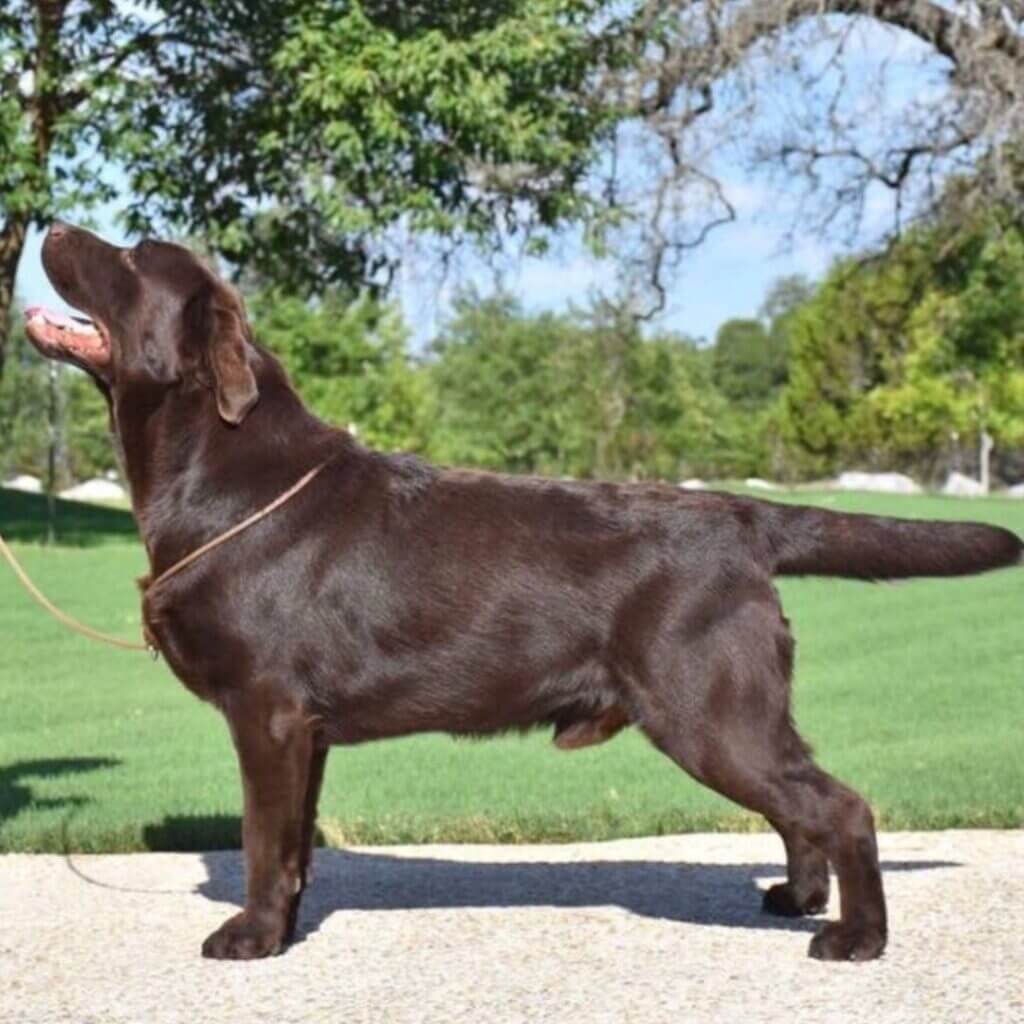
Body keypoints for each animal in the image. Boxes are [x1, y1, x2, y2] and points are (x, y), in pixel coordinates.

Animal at [25, 222, 1024, 958]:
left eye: (127, 257)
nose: (50, 223)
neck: (222, 472)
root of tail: (742, 518)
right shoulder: (304, 730)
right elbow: (297, 844)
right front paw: (289, 929)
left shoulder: (266, 713)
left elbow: (265, 844)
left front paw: (253, 937)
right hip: (737, 710)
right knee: (799, 802)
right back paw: (799, 898)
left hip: (709, 711)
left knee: (840, 804)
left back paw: (857, 938)